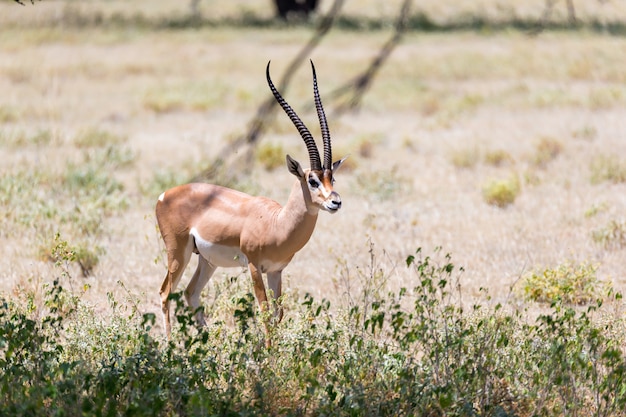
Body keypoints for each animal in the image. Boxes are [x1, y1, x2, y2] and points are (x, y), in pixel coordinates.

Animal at [154, 61, 344, 342]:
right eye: (312, 180)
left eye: (332, 177)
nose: (335, 202)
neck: (277, 223)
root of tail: (165, 194)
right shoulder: (255, 266)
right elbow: (264, 311)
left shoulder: (276, 270)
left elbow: (278, 313)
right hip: (178, 252)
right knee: (166, 293)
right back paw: (170, 344)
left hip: (206, 261)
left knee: (190, 293)